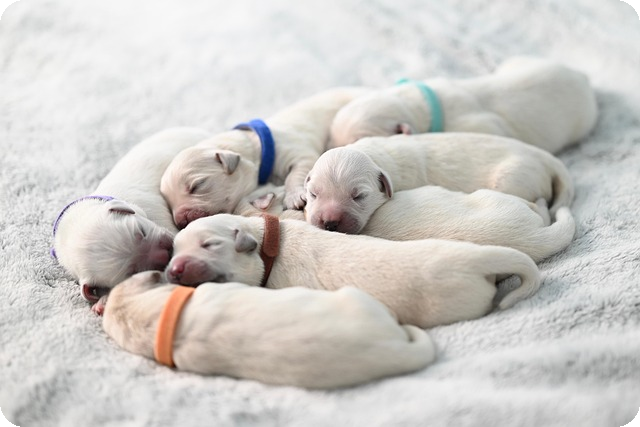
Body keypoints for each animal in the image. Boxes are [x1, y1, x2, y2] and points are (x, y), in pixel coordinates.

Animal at [159, 86, 372, 229]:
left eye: (197, 185)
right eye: (167, 200)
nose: (181, 222)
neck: (255, 145)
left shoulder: (300, 154)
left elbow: (294, 175)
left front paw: (294, 196)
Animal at [306, 132, 574, 221]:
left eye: (359, 196)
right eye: (313, 194)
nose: (329, 223)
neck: (376, 156)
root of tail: (545, 158)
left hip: (514, 178)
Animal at [329, 55, 598, 153]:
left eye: (359, 142)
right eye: (331, 139)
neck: (422, 103)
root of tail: (581, 76)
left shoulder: (477, 126)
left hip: (583, 121)